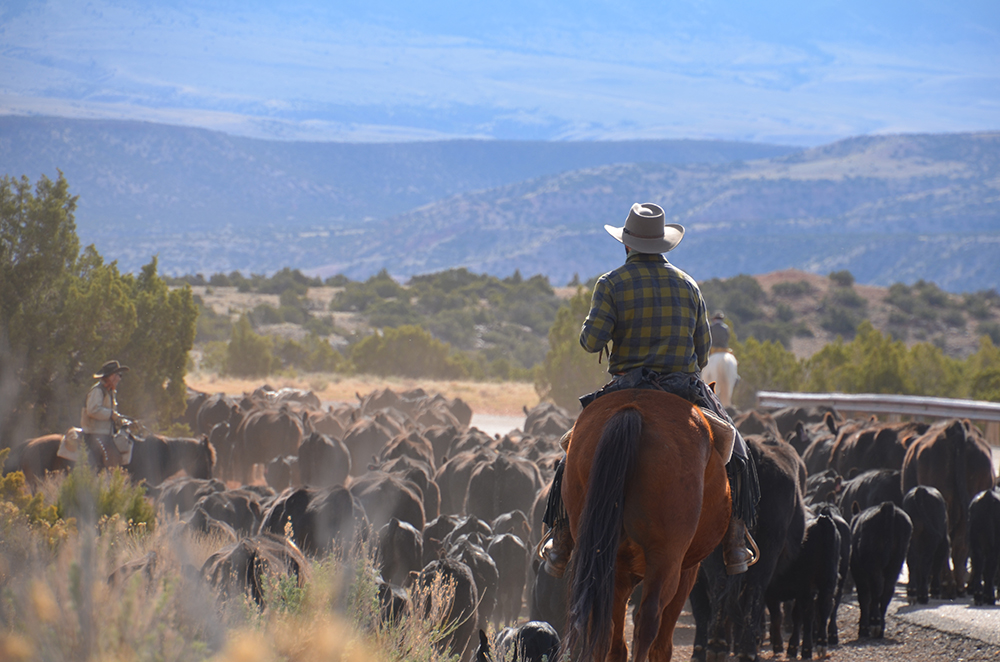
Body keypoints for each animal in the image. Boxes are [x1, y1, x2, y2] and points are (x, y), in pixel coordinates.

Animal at [564, 392, 736, 660]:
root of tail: (633, 410)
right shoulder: (686, 570)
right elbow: (662, 642)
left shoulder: (624, 569)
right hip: (666, 558)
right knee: (648, 620)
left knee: (604, 624)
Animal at [848, 506, 912, 640]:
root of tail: (887, 507)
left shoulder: (858, 571)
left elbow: (864, 597)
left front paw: (863, 629)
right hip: (896, 563)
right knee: (887, 592)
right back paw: (880, 628)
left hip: (874, 564)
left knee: (876, 590)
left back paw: (874, 623)